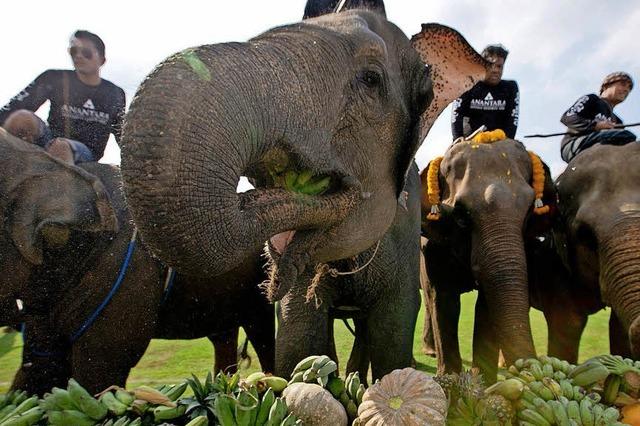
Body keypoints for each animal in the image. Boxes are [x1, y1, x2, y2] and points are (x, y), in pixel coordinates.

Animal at [420, 138, 556, 382]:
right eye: (461, 214)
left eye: (529, 211)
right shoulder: (432, 246)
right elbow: (443, 299)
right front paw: (449, 382)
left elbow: (485, 306)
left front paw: (481, 384)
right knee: (429, 301)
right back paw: (430, 351)